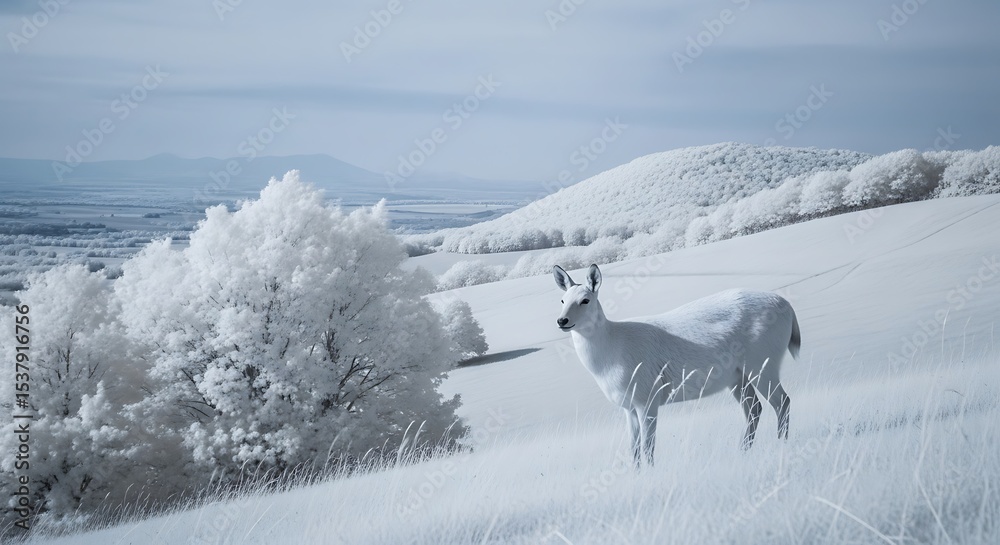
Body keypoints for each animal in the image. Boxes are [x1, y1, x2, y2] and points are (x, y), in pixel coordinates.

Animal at [553, 264, 800, 466]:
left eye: (585, 300)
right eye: (562, 300)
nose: (562, 321)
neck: (612, 351)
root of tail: (788, 306)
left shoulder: (647, 398)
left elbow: (648, 446)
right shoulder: (628, 406)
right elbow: (633, 449)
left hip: (763, 363)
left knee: (782, 402)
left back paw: (780, 445)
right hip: (737, 377)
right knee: (754, 409)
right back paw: (743, 452)